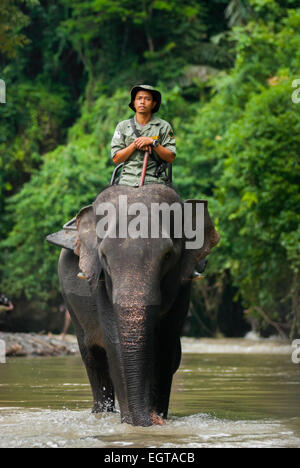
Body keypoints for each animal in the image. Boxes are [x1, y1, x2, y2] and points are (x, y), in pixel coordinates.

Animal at [51, 185, 220, 426]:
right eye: (104, 256)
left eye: (167, 255)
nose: (153, 418)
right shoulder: (101, 285)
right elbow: (114, 344)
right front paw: (132, 423)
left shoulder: (183, 284)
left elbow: (165, 345)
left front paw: (157, 417)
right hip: (70, 302)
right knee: (93, 358)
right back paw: (101, 413)